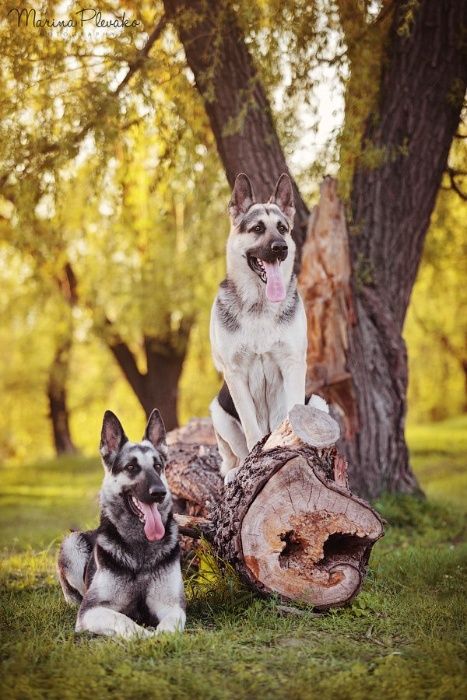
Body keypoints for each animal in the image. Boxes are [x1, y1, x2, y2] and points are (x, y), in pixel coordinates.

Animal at [56, 410, 185, 640]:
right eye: (131, 467)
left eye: (158, 466)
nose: (159, 493)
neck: (140, 549)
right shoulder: (92, 610)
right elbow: (124, 621)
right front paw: (146, 636)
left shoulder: (172, 606)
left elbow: (169, 626)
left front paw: (161, 635)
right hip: (72, 543)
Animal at [210, 172, 328, 484]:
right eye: (257, 228)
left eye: (283, 229)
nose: (281, 249)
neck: (260, 305)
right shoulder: (235, 373)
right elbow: (251, 428)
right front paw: (253, 459)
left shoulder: (293, 363)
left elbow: (293, 409)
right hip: (218, 411)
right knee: (232, 455)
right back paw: (237, 468)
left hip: (319, 402)